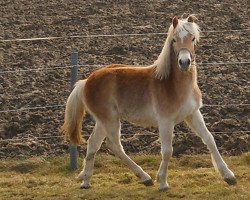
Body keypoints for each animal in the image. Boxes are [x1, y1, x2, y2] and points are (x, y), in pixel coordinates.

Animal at [61, 15, 237, 191]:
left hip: (103, 120)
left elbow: (209, 139)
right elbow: (167, 151)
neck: (172, 85)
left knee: (93, 144)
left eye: (192, 38)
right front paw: (163, 183)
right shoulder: (165, 121)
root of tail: (85, 82)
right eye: (174, 40)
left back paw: (85, 181)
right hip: (109, 120)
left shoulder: (193, 114)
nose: (184, 62)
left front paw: (229, 176)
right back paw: (145, 177)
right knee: (114, 145)